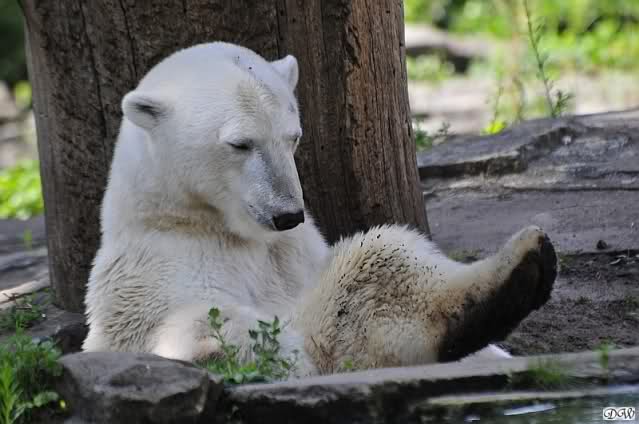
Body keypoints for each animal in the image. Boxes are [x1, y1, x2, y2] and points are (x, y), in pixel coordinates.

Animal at [83, 42, 556, 377]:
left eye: (292, 136)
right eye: (240, 143)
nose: (287, 214)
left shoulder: (297, 253)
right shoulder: (154, 274)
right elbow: (214, 331)